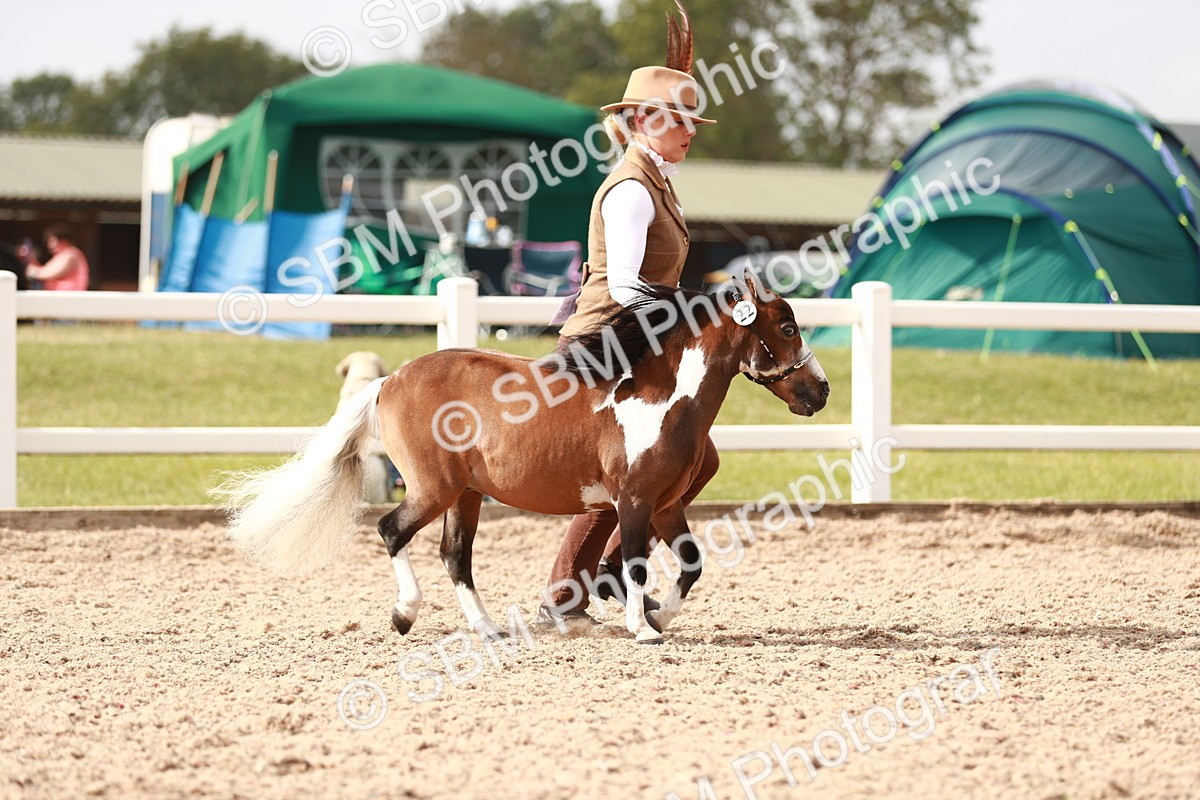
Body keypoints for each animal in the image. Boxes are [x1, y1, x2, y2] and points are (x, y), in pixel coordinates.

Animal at [217, 273, 829, 645]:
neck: (659, 396)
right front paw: (644, 628)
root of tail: (389, 380)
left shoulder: (665, 505)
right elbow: (634, 562)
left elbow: (691, 563)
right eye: (787, 325)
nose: (820, 391)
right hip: (433, 488)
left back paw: (488, 629)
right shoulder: (633, 501)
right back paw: (404, 614)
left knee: (454, 555)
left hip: (465, 495)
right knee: (393, 531)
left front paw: (658, 615)